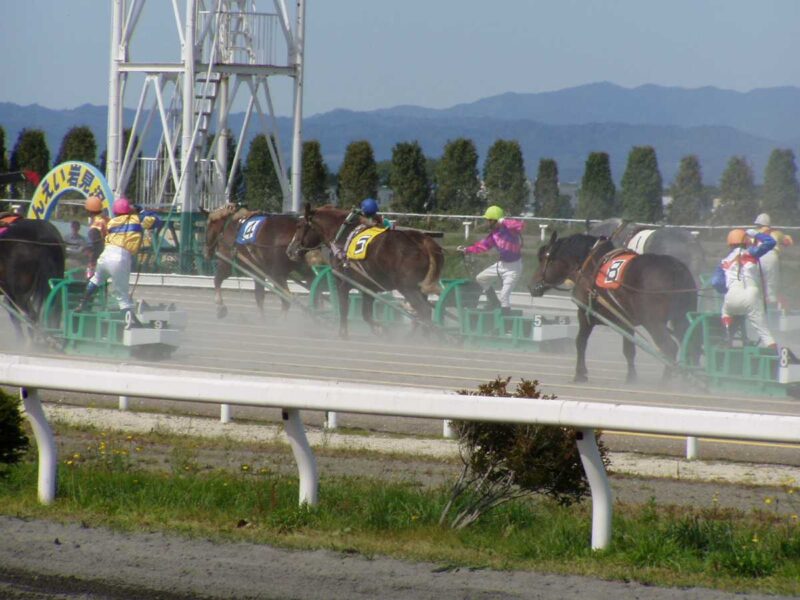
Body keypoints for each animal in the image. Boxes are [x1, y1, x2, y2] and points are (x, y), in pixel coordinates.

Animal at [286, 205, 444, 338]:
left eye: (299, 226)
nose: (290, 250)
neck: (343, 235)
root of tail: (422, 240)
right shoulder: (368, 286)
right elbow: (366, 314)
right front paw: (381, 329)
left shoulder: (343, 281)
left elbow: (344, 307)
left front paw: (343, 332)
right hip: (418, 289)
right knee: (421, 313)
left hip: (407, 287)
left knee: (424, 310)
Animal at [532, 232, 700, 382]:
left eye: (544, 259)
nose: (531, 285)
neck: (590, 266)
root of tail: (676, 269)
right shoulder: (626, 321)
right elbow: (629, 350)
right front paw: (631, 377)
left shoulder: (585, 314)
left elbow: (580, 342)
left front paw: (580, 374)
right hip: (681, 317)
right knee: (691, 343)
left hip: (653, 322)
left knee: (670, 347)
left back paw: (666, 382)